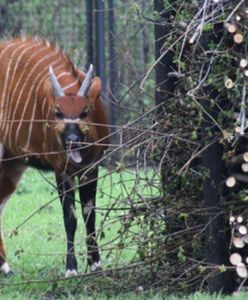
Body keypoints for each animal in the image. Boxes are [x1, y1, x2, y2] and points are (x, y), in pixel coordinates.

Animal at [0, 37, 109, 276]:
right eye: (58, 112)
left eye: (85, 111)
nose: (71, 140)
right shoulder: (62, 169)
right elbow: (70, 218)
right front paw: (71, 268)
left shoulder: (92, 167)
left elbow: (89, 214)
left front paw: (96, 265)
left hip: (12, 164)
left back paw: (5, 267)